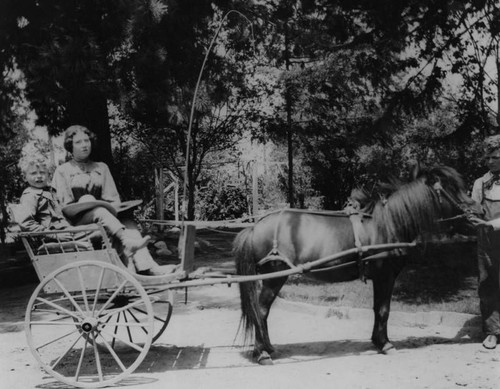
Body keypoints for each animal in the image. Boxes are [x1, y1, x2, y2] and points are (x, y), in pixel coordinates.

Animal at [232, 164, 474, 364]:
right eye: (452, 189)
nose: (477, 210)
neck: (388, 223)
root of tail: (255, 227)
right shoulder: (386, 276)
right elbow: (384, 310)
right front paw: (386, 344)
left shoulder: (380, 278)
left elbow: (377, 308)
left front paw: (377, 341)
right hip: (275, 277)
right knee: (261, 310)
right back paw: (262, 353)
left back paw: (268, 348)